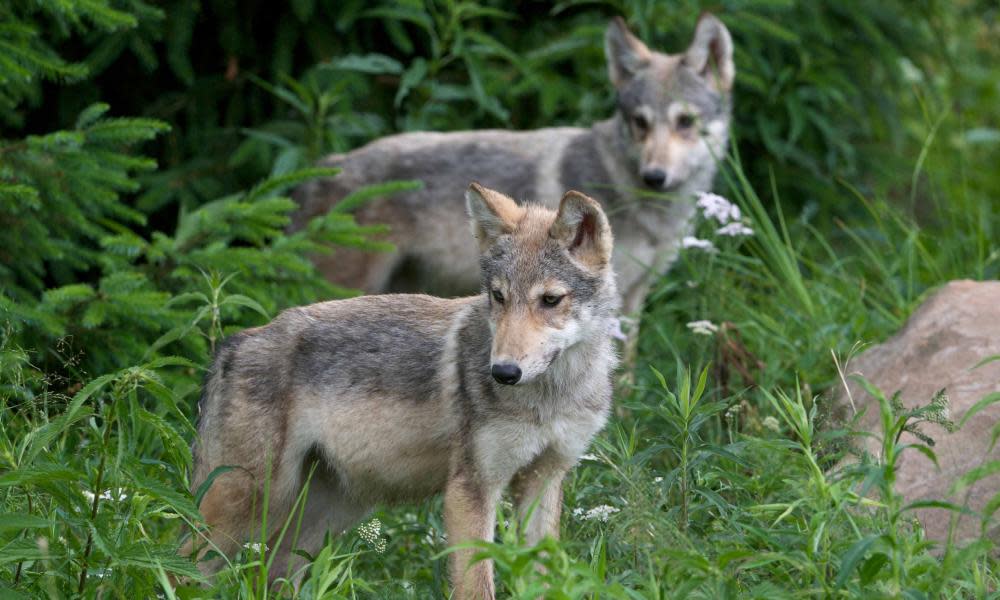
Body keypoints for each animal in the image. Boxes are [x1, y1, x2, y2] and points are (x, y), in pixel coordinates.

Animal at [184, 184, 612, 600]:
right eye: (498, 297)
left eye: (550, 300)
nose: (503, 372)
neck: (552, 395)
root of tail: (233, 344)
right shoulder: (470, 489)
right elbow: (477, 588)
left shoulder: (544, 480)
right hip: (246, 508)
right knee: (183, 565)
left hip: (325, 516)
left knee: (268, 577)